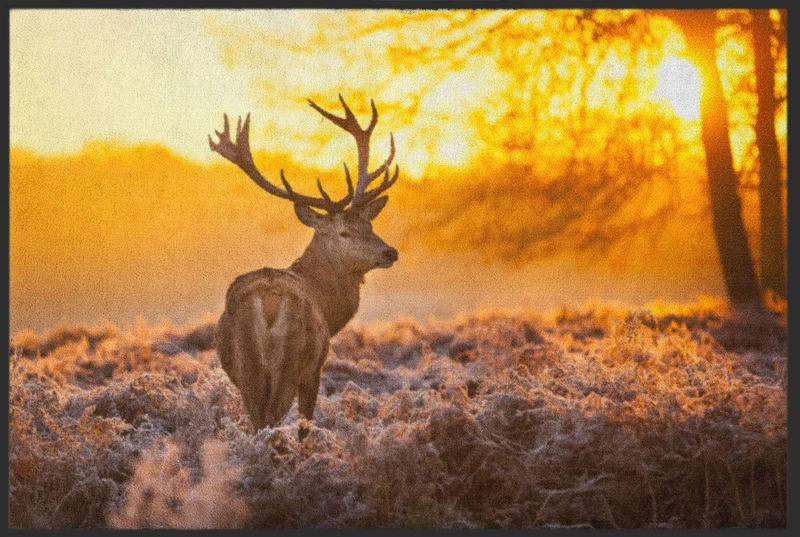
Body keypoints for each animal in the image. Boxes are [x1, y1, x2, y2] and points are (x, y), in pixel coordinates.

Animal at [208, 95, 400, 440]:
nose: (389, 252)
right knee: (271, 421)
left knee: (258, 421)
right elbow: (306, 425)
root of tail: (268, 304)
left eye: (369, 224)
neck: (328, 305)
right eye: (344, 232)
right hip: (292, 362)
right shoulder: (315, 367)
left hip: (246, 369)